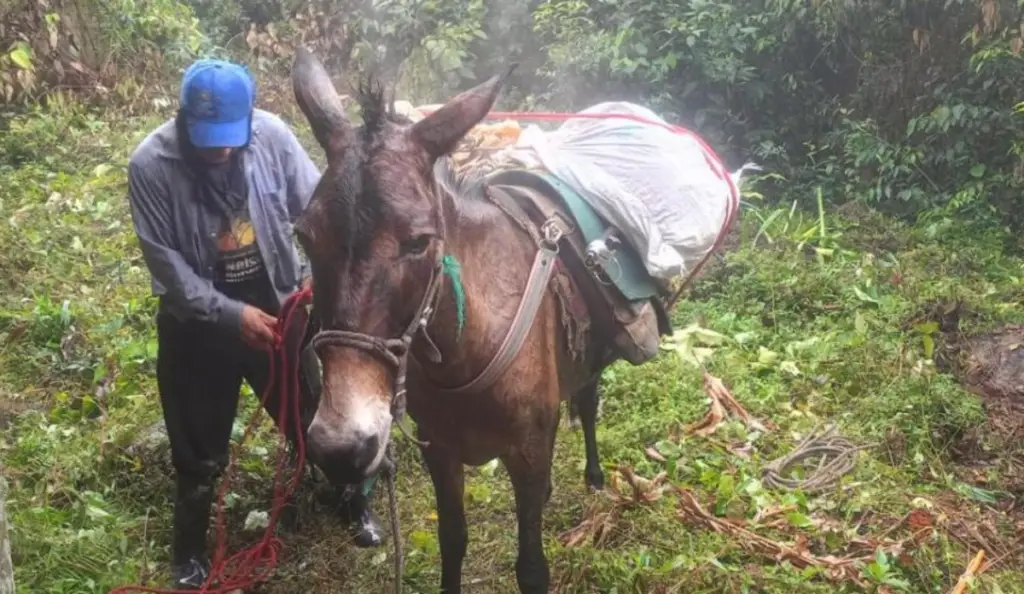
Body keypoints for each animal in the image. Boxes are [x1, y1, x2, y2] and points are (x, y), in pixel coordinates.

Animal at [289, 46, 679, 593]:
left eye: (419, 241)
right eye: (304, 236)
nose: (341, 446)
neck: (464, 351)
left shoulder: (527, 452)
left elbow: (532, 568)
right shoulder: (440, 451)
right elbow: (453, 543)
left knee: (588, 398)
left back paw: (594, 476)